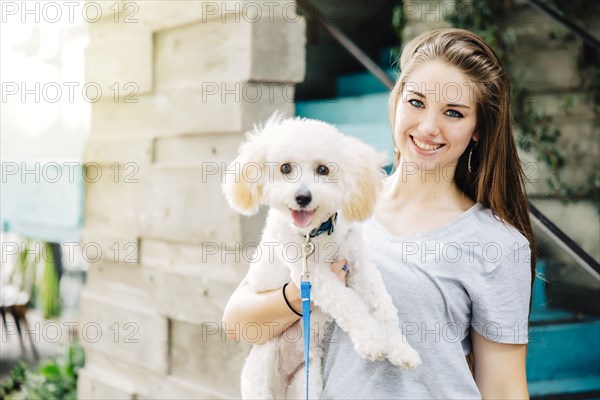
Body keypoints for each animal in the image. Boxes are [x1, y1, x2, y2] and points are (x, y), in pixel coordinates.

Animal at [221, 114, 422, 398]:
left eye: (323, 170)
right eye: (285, 168)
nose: (302, 197)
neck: (315, 235)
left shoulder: (359, 263)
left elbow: (383, 305)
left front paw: (401, 349)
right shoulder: (311, 275)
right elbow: (348, 301)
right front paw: (371, 340)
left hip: (308, 382)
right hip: (260, 376)